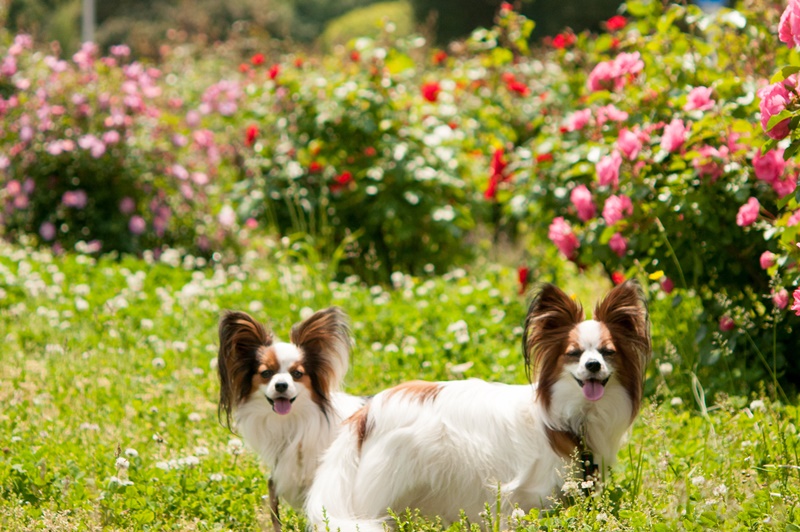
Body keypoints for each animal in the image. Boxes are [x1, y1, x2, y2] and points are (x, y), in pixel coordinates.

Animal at [304, 280, 648, 528]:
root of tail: (366, 414)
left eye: (607, 352)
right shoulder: (524, 495)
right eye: (574, 354)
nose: (593, 365)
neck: (571, 417)